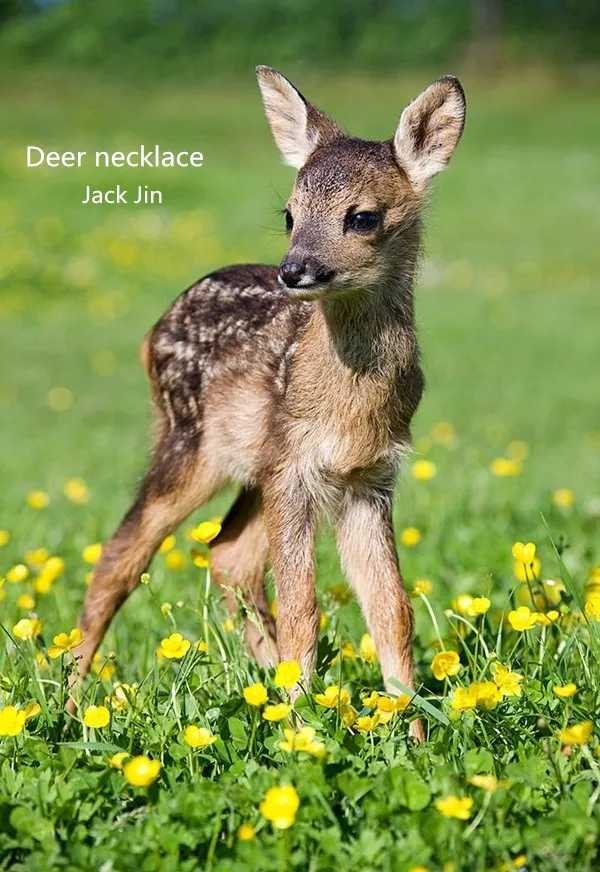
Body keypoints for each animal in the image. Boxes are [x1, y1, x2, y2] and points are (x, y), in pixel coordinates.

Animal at [72, 66, 466, 741]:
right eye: (289, 213)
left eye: (363, 216)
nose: (295, 270)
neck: (347, 406)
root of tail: (152, 331)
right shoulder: (296, 469)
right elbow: (305, 606)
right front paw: (303, 736)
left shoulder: (368, 478)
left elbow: (392, 608)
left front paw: (411, 735)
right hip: (193, 443)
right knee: (119, 555)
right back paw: (70, 709)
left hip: (257, 465)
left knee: (227, 553)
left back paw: (272, 691)